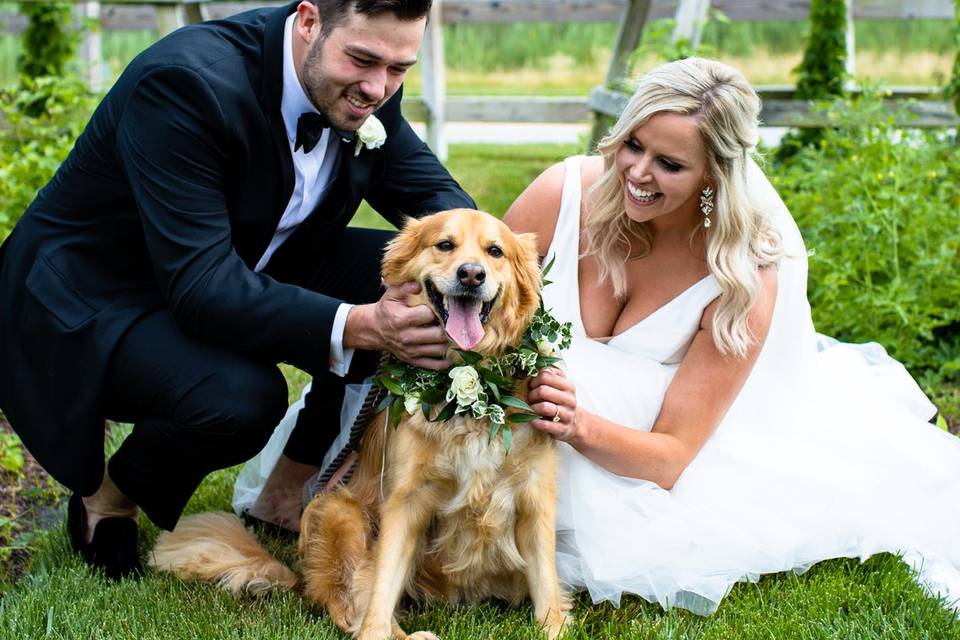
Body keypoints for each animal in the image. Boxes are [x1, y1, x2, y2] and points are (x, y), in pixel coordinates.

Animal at [150, 210, 568, 640]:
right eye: (445, 245)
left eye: (495, 251)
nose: (471, 274)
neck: (469, 391)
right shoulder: (405, 500)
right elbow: (381, 588)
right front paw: (375, 629)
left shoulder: (534, 496)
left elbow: (547, 586)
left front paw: (553, 627)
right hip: (340, 510)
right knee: (350, 603)